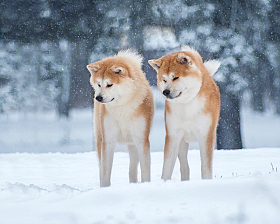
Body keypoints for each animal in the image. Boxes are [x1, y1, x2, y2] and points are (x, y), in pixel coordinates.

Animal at [86, 49, 154, 187]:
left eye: (109, 85)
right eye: (99, 84)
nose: (98, 98)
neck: (122, 109)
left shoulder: (141, 139)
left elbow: (145, 170)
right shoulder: (108, 139)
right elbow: (105, 171)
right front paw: (105, 188)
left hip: (133, 143)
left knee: (132, 169)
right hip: (99, 137)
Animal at [149, 45, 221, 180]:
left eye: (175, 77)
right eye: (164, 79)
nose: (165, 92)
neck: (187, 104)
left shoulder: (206, 135)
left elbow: (206, 167)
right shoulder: (173, 135)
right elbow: (167, 167)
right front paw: (163, 182)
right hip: (181, 142)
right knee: (184, 166)